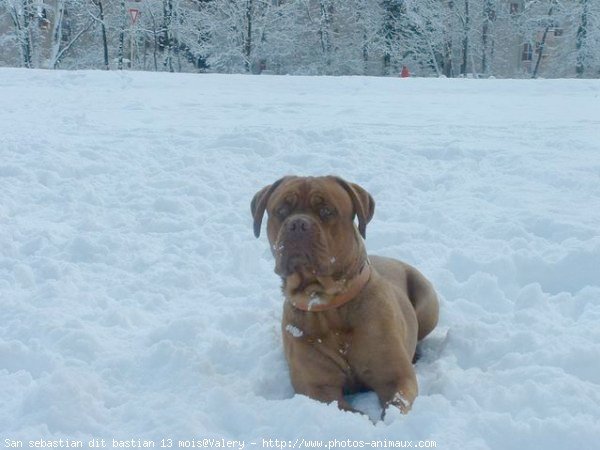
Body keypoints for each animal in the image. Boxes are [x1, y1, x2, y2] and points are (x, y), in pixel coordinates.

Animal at [251, 175, 438, 414]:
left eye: (326, 210)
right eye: (281, 210)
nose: (298, 224)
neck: (327, 304)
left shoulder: (396, 377)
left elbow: (395, 405)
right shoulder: (318, 389)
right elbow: (352, 412)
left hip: (427, 300)